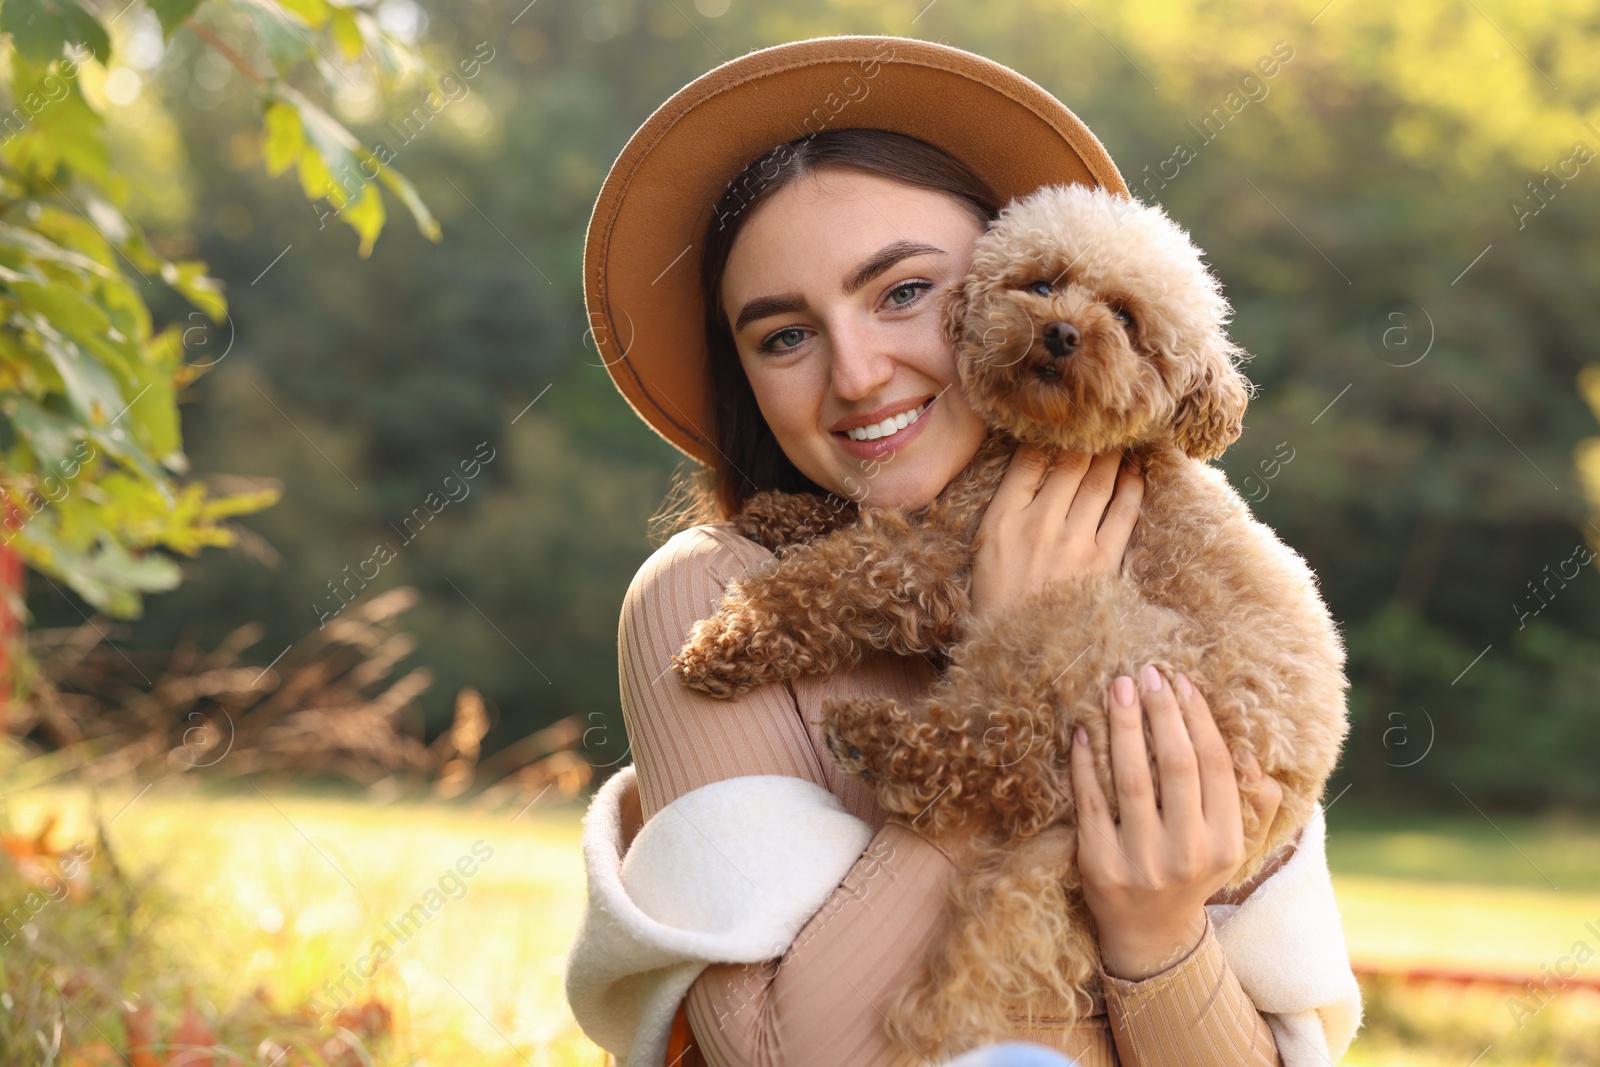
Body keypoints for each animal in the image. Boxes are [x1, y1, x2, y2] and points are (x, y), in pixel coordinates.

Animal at [665, 183, 1350, 1062]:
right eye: (1043, 282)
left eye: (1126, 318)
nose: (1062, 332)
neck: (1045, 444)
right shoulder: (943, 519)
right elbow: (853, 518)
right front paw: (781, 512)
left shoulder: (944, 567)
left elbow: (843, 576)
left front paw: (731, 637)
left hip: (1093, 633)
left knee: (997, 752)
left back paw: (873, 739)